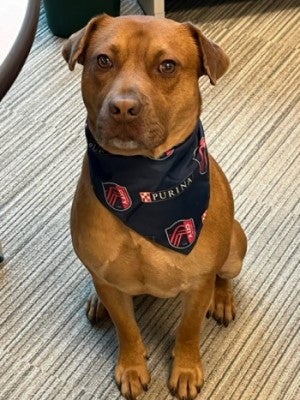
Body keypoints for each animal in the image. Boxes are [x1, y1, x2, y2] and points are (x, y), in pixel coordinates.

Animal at [62, 14, 247, 400]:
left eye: (167, 66)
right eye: (103, 60)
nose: (123, 107)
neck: (143, 188)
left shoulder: (197, 285)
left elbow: (188, 331)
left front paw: (187, 369)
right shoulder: (112, 284)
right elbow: (127, 329)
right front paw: (132, 366)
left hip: (235, 248)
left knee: (224, 275)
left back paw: (223, 300)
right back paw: (96, 300)